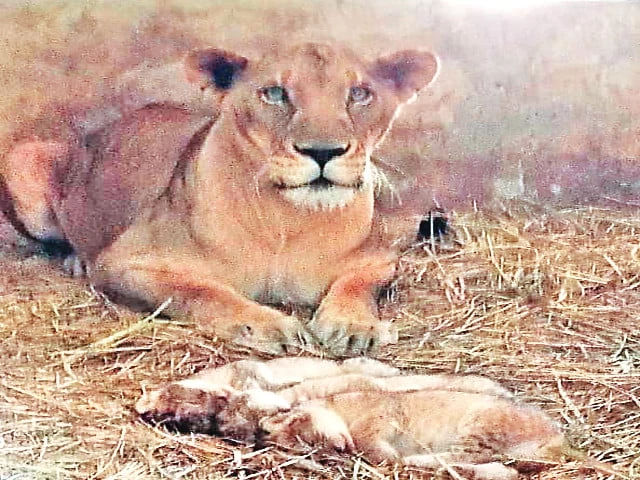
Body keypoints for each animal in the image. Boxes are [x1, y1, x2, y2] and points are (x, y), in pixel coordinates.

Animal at [0, 42, 439, 355]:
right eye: (275, 93)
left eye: (359, 94)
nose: (322, 151)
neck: (287, 221)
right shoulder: (122, 261)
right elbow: (200, 291)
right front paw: (267, 325)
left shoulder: (379, 258)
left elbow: (358, 285)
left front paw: (352, 326)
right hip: (23, 156)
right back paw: (74, 260)